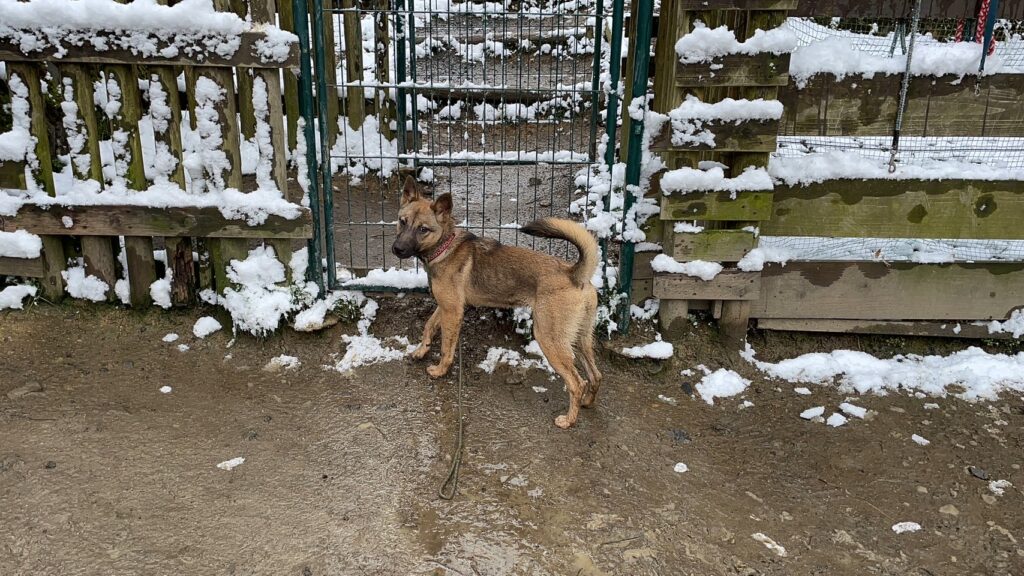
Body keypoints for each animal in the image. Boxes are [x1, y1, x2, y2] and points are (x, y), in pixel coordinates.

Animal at [392, 177, 602, 429]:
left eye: (423, 229)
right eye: (402, 222)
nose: (397, 249)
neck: (445, 246)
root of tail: (575, 274)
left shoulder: (452, 311)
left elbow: (445, 348)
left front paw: (440, 370)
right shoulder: (446, 307)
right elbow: (428, 326)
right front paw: (421, 350)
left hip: (549, 338)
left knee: (576, 382)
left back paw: (568, 420)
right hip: (580, 339)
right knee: (595, 375)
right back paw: (587, 402)